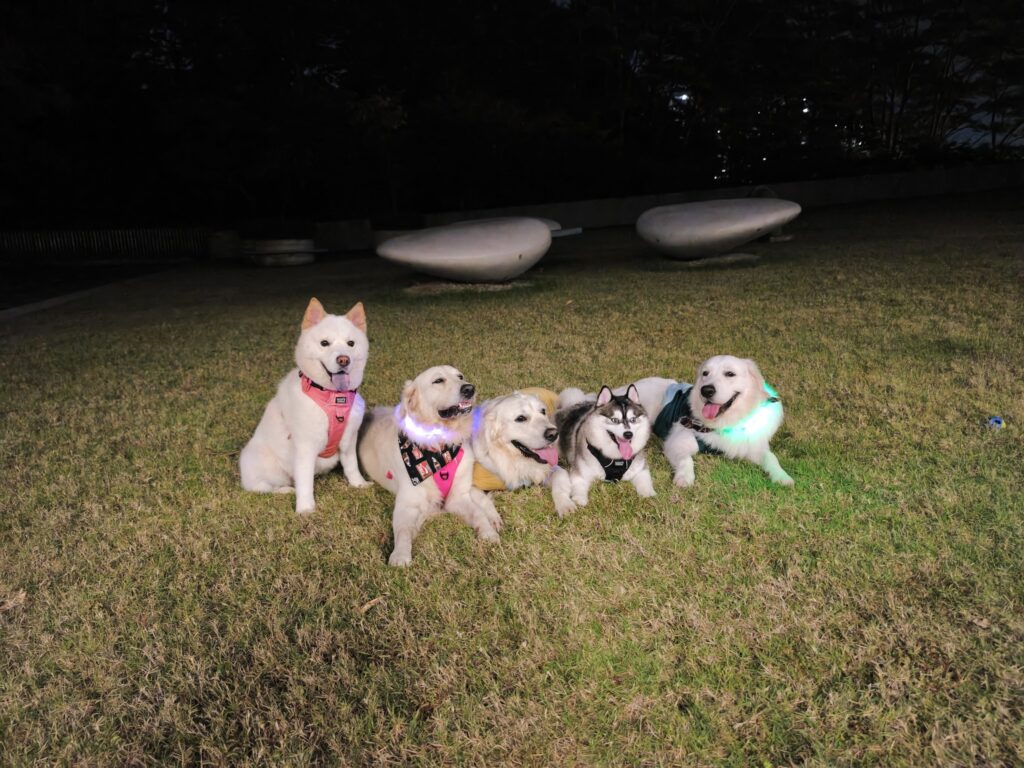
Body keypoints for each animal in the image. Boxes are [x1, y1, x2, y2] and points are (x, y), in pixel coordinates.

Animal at [240, 297, 371, 514]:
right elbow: (304, 481)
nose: (344, 359)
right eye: (324, 343)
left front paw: (359, 484)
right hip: (265, 466)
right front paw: (305, 509)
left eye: (351, 343)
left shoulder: (349, 439)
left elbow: (352, 466)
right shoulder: (305, 448)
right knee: (262, 487)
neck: (333, 397)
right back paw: (285, 490)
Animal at [357, 365, 503, 567]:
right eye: (438, 381)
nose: (469, 388)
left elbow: (478, 513)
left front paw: (488, 532)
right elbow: (402, 531)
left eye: (460, 376)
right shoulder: (407, 503)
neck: (439, 447)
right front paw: (400, 555)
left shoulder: (458, 497)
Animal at [554, 384, 655, 513]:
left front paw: (648, 494)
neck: (615, 458)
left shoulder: (640, 469)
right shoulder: (579, 473)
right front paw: (580, 499)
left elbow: (645, 482)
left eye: (633, 419)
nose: (628, 434)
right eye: (614, 420)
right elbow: (579, 485)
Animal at [585, 356, 793, 488]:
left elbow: (771, 458)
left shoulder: (754, 446)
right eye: (705, 373)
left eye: (730, 374)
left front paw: (783, 477)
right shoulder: (678, 441)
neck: (721, 424)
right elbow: (687, 460)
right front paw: (684, 478)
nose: (706, 390)